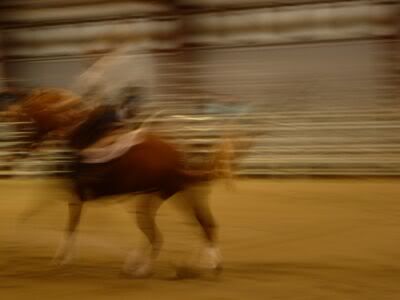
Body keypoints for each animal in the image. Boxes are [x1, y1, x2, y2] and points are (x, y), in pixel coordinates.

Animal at [1, 88, 231, 278]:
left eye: (23, 122)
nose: (15, 154)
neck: (74, 134)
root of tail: (177, 156)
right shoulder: (67, 193)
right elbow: (45, 212)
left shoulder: (76, 196)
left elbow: (69, 226)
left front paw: (60, 258)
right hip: (174, 195)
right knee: (202, 224)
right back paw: (203, 264)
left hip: (151, 198)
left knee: (158, 235)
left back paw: (144, 268)